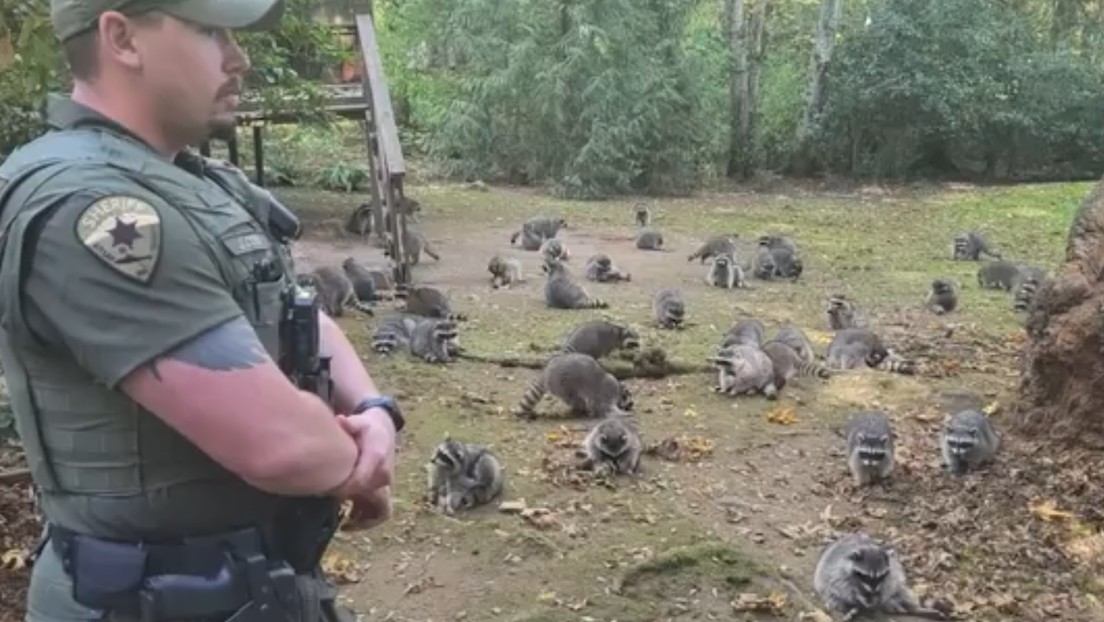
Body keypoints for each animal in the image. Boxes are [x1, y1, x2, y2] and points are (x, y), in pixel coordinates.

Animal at [812, 532, 949, 618]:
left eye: (881, 576)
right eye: (866, 576)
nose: (873, 590)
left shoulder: (890, 574)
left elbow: (889, 585)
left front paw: (877, 597)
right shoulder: (836, 571)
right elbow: (839, 586)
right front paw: (856, 598)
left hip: (898, 586)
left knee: (902, 593)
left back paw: (915, 608)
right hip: (823, 583)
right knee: (833, 596)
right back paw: (849, 608)